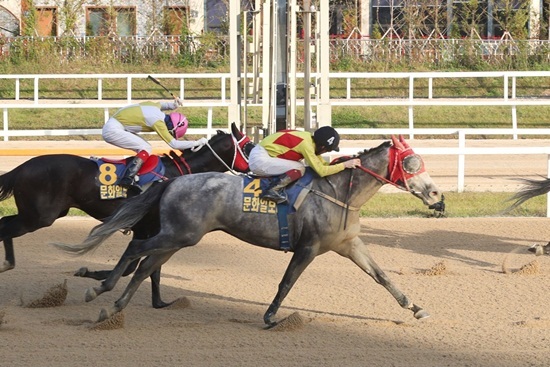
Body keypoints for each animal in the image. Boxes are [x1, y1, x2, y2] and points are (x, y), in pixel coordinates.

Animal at [55, 135, 444, 328]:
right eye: (412, 163)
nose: (437, 195)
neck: (338, 192)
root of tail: (173, 180)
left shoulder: (348, 243)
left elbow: (381, 276)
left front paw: (416, 308)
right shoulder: (308, 247)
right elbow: (286, 282)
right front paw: (271, 317)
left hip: (180, 237)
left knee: (147, 264)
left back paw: (115, 307)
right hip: (179, 236)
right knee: (137, 252)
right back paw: (99, 290)